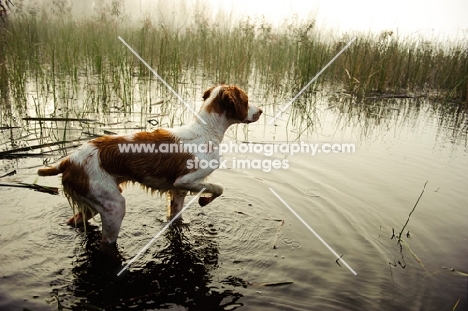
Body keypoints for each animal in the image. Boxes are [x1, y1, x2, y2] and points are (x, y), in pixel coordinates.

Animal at [38, 86, 262, 251]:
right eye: (246, 100)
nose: (260, 111)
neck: (206, 131)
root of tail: (68, 160)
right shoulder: (185, 180)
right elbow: (218, 187)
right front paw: (204, 201)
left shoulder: (177, 191)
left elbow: (176, 216)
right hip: (114, 207)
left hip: (96, 200)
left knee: (74, 220)